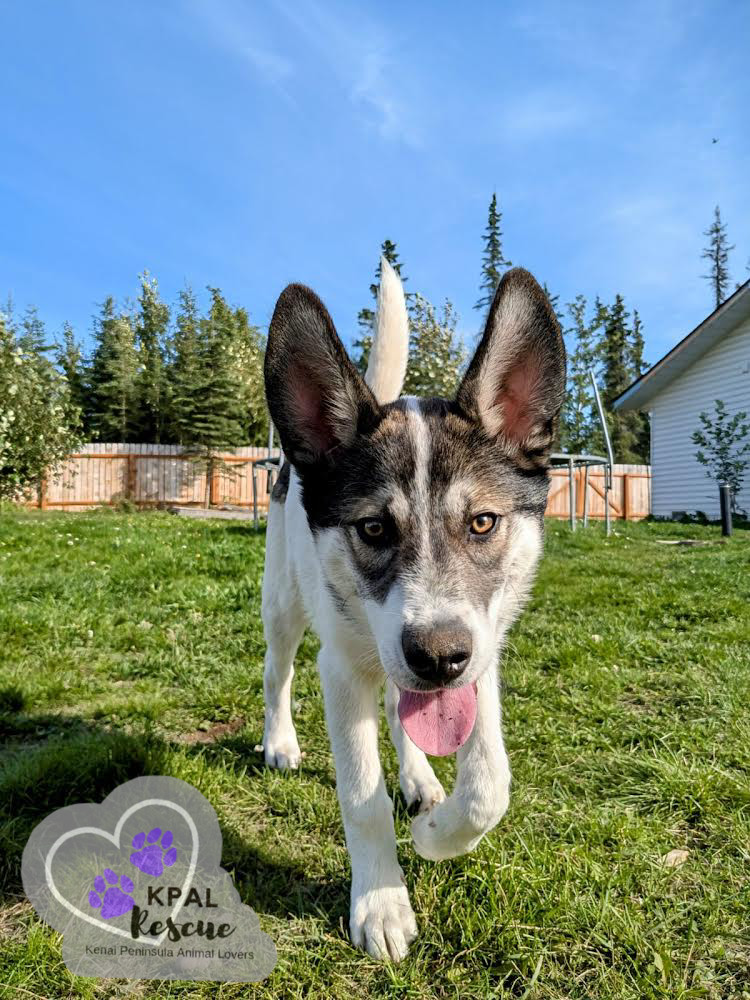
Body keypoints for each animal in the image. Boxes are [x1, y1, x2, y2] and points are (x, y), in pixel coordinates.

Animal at [262, 260, 568, 960]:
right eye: (373, 529)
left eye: (482, 522)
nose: (438, 656)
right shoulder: (342, 670)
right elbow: (361, 798)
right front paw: (381, 903)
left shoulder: (481, 652)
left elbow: (489, 783)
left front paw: (436, 834)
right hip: (284, 604)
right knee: (277, 670)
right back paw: (280, 740)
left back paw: (421, 779)